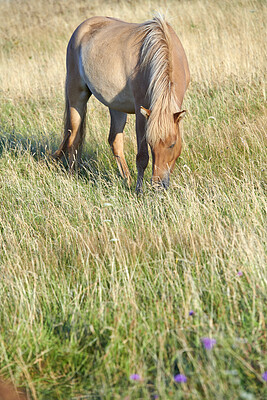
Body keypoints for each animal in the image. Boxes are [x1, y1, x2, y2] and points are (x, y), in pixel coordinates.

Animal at [52, 14, 191, 192]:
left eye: (172, 144)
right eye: (151, 143)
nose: (158, 185)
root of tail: (83, 27)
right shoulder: (141, 113)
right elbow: (142, 157)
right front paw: (139, 191)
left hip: (116, 107)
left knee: (114, 141)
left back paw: (127, 180)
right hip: (77, 96)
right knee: (74, 138)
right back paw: (72, 176)